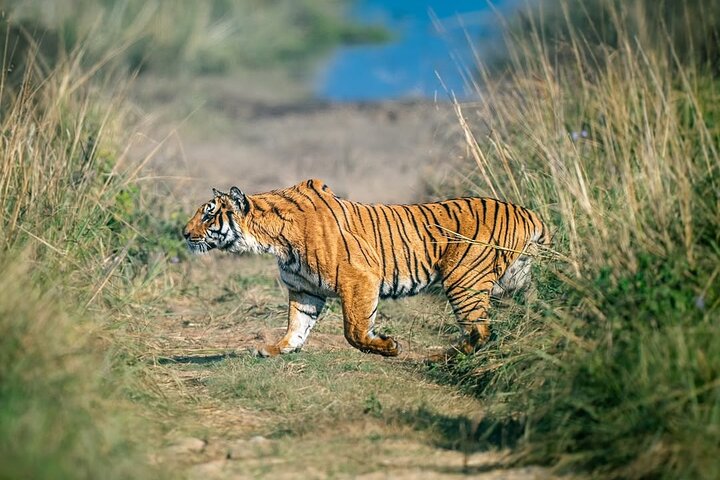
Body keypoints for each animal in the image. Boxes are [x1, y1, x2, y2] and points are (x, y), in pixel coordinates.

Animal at [183, 179, 550, 359]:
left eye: (208, 214)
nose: (184, 234)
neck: (273, 240)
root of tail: (528, 213)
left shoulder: (358, 277)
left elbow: (354, 330)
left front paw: (389, 347)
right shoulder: (304, 289)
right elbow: (297, 325)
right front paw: (277, 349)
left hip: (464, 279)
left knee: (480, 331)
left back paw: (440, 359)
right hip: (515, 279)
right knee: (534, 308)